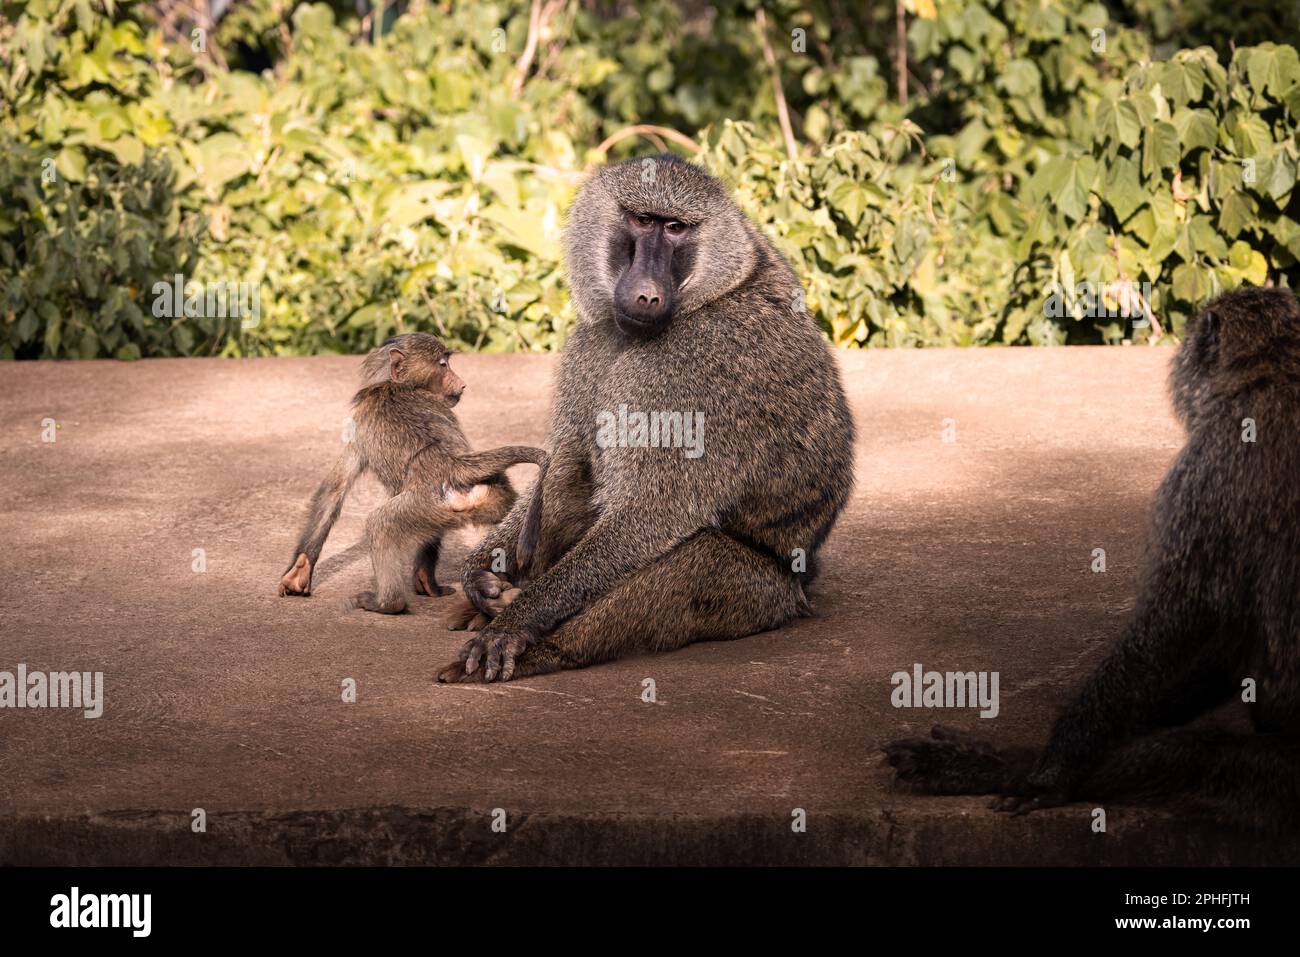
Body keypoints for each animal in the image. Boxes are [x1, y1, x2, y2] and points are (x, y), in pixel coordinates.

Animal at [277, 332, 548, 614]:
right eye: (443, 365)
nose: (462, 385)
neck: (391, 383)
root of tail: (453, 465)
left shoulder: (359, 422)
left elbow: (336, 487)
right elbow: (336, 487)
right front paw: (301, 569)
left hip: (423, 503)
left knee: (379, 525)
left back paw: (387, 603)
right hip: (487, 499)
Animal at [435, 154, 855, 683]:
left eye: (675, 228)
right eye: (641, 220)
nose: (648, 295)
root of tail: (804, 584)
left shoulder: (692, 366)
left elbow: (649, 513)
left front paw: (514, 622)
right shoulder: (592, 341)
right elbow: (562, 457)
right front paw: (482, 575)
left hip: (757, 594)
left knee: (691, 563)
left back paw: (548, 651)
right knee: (569, 466)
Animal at [883, 287, 1300, 830]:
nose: (1178, 360)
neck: (1278, 370)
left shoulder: (1207, 471)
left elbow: (1168, 632)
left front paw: (1052, 769)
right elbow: (1217, 633)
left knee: (1188, 760)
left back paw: (998, 765)